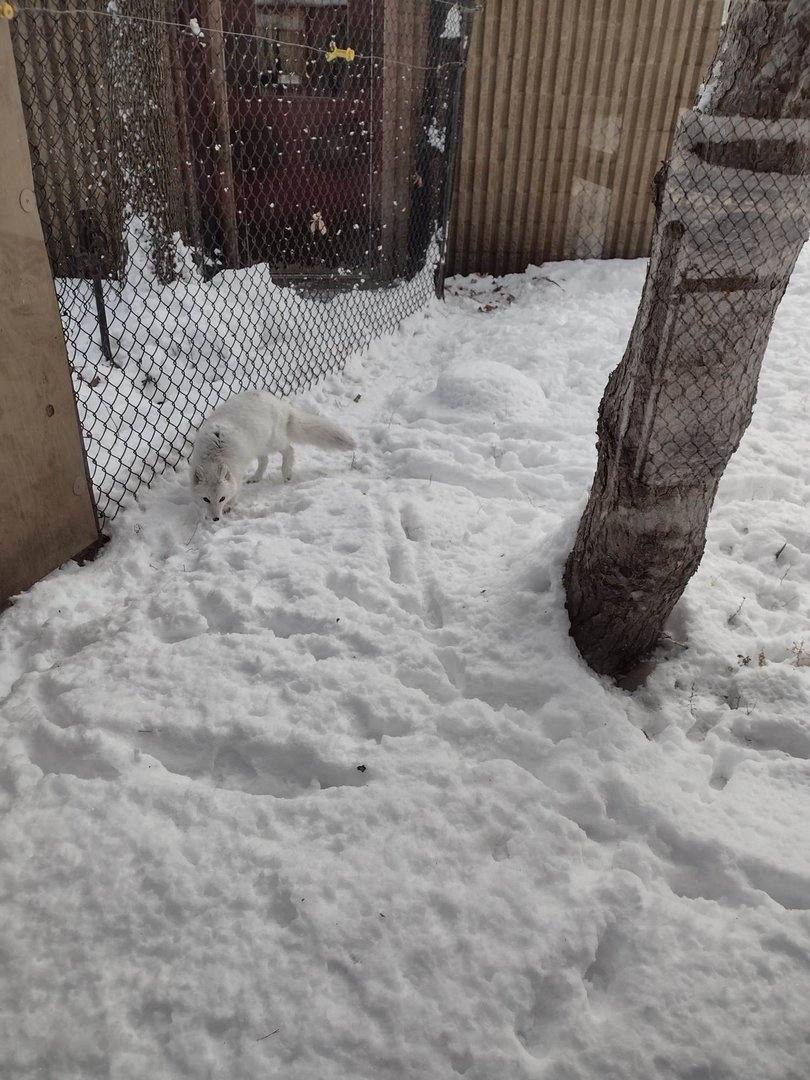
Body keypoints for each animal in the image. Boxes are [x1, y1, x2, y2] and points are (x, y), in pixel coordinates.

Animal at [190, 390, 355, 520]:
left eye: (222, 498)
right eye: (206, 499)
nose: (216, 519)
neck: (213, 456)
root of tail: (280, 404)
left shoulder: (236, 475)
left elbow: (235, 492)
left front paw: (228, 507)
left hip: (274, 442)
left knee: (289, 449)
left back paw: (286, 473)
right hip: (259, 446)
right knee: (265, 459)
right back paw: (256, 477)